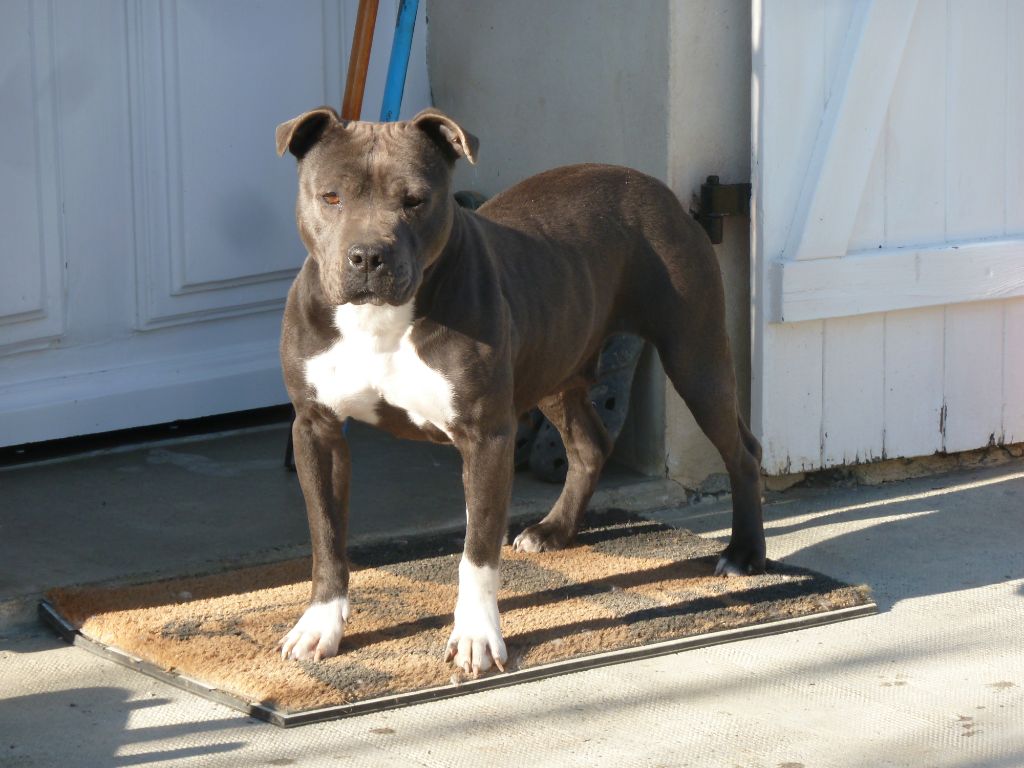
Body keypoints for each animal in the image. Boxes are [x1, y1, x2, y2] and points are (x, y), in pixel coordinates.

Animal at [274, 106, 765, 674]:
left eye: (415, 200)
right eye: (331, 196)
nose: (368, 256)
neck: (381, 322)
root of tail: (651, 184)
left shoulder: (487, 434)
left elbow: (477, 552)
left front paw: (476, 637)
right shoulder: (317, 429)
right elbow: (327, 537)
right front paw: (320, 626)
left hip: (695, 355)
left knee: (742, 450)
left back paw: (744, 552)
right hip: (554, 365)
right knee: (589, 445)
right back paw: (554, 529)